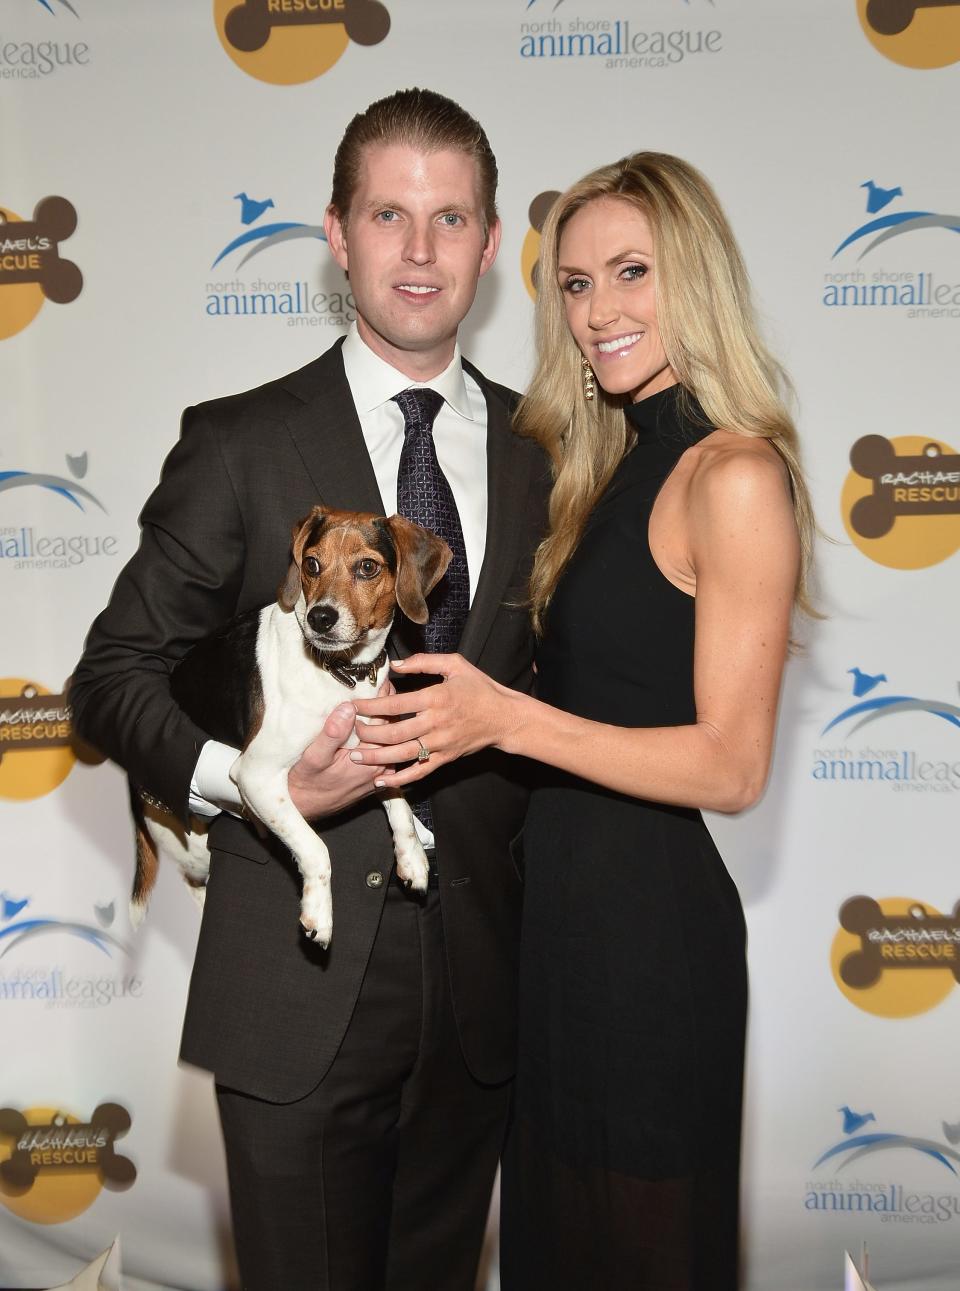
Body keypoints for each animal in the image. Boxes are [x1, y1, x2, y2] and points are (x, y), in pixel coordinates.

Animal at [129, 503, 451, 950]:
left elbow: (397, 799)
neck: (341, 674)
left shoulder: (374, 746)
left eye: (367, 567)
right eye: (311, 564)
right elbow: (315, 848)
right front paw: (319, 913)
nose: (320, 618)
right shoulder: (257, 775)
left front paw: (413, 858)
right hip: (190, 841)